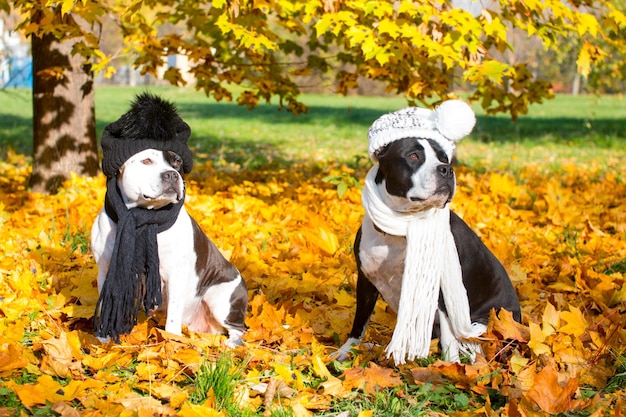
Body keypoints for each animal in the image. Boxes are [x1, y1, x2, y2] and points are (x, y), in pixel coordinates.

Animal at [90, 93, 246, 344]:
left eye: (177, 162)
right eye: (146, 161)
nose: (172, 175)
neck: (146, 217)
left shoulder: (176, 274)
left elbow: (172, 315)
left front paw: (171, 342)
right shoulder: (106, 269)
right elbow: (107, 305)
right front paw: (102, 341)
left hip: (220, 298)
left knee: (238, 329)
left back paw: (230, 344)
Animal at [334, 99, 520, 362]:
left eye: (445, 158)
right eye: (413, 156)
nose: (446, 170)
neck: (401, 226)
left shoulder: (439, 288)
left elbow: (450, 337)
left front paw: (452, 366)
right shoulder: (366, 280)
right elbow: (359, 321)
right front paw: (346, 351)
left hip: (489, 324)